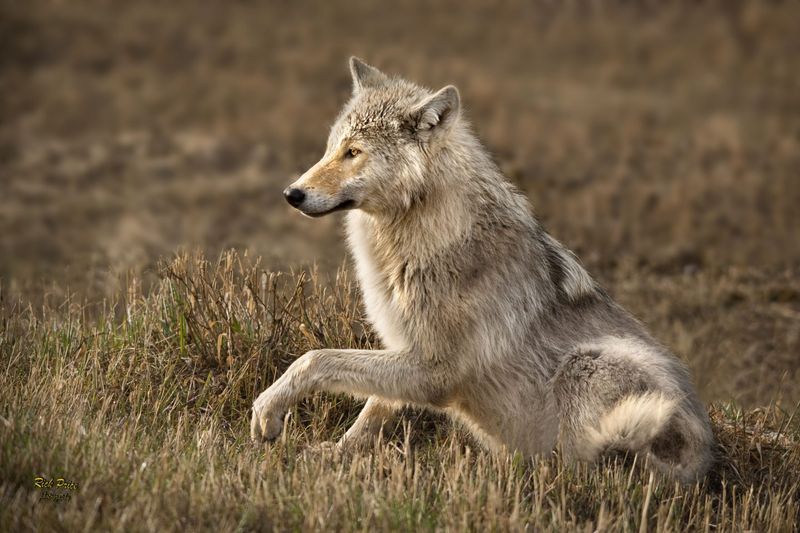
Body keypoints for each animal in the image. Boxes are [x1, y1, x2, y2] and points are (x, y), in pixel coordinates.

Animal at [250, 57, 712, 482]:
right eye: (331, 148)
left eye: (354, 153)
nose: (291, 193)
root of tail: (704, 461)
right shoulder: (405, 349)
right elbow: (371, 409)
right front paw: (332, 454)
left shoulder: (433, 370)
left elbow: (315, 359)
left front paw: (267, 412)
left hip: (587, 366)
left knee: (579, 465)